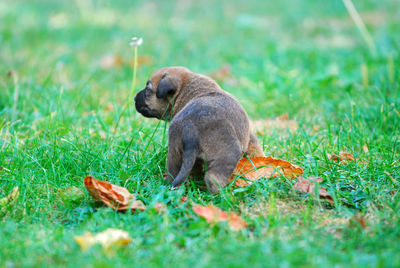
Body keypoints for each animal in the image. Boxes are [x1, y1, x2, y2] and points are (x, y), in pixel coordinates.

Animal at [135, 66, 266, 193]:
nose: (134, 98)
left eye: (147, 89)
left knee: (174, 174)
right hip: (227, 155)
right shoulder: (251, 138)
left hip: (174, 155)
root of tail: (190, 129)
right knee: (213, 179)